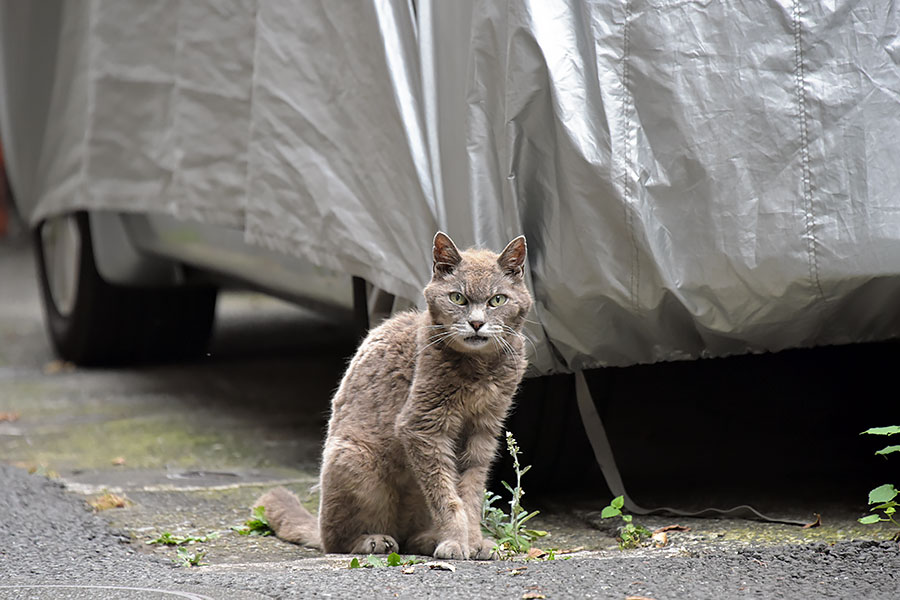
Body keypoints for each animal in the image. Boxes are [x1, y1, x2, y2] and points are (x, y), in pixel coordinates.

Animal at [253, 232, 532, 560]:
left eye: (497, 300)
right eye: (457, 298)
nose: (476, 323)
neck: (480, 369)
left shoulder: (484, 431)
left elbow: (471, 494)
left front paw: (474, 542)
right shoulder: (423, 427)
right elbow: (446, 496)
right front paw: (455, 542)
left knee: (408, 537)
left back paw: (428, 539)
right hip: (354, 462)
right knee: (336, 540)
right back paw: (373, 541)